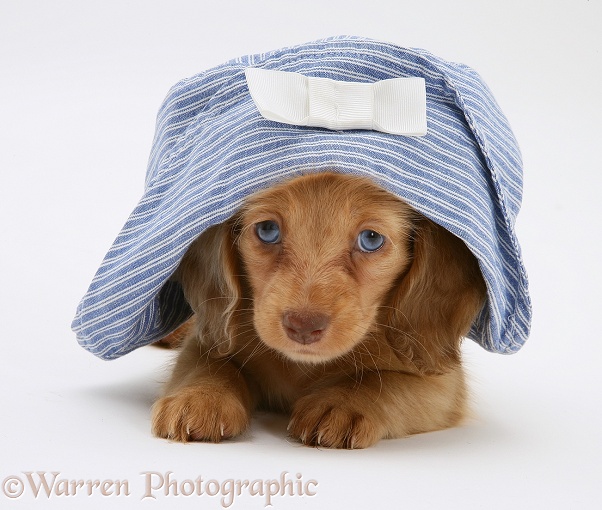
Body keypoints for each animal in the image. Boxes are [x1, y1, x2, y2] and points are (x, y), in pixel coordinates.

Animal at [152, 172, 486, 450]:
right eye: (267, 230)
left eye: (371, 239)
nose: (302, 326)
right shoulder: (207, 338)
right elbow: (209, 364)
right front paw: (200, 397)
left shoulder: (441, 383)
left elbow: (382, 381)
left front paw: (343, 404)